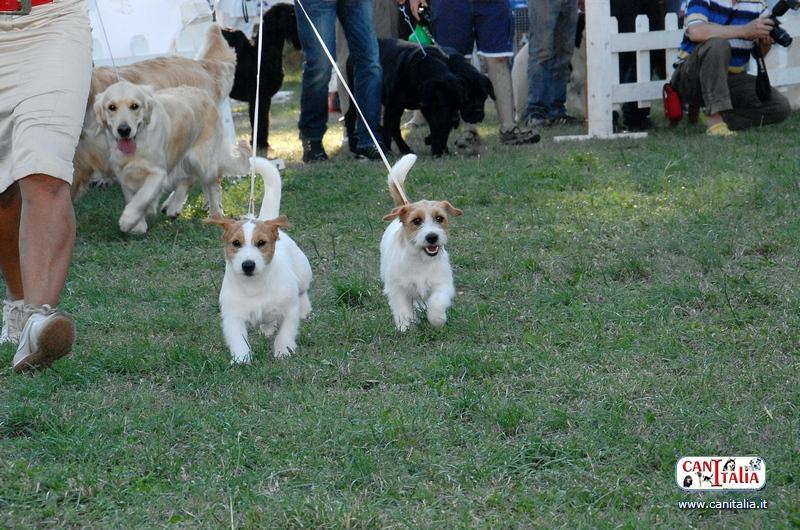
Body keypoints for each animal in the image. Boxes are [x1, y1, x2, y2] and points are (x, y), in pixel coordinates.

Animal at [222, 5, 300, 151]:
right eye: (292, 14)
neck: (263, 51)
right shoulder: (258, 97)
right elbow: (258, 120)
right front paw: (259, 144)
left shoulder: (266, 98)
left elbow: (264, 120)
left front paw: (262, 143)